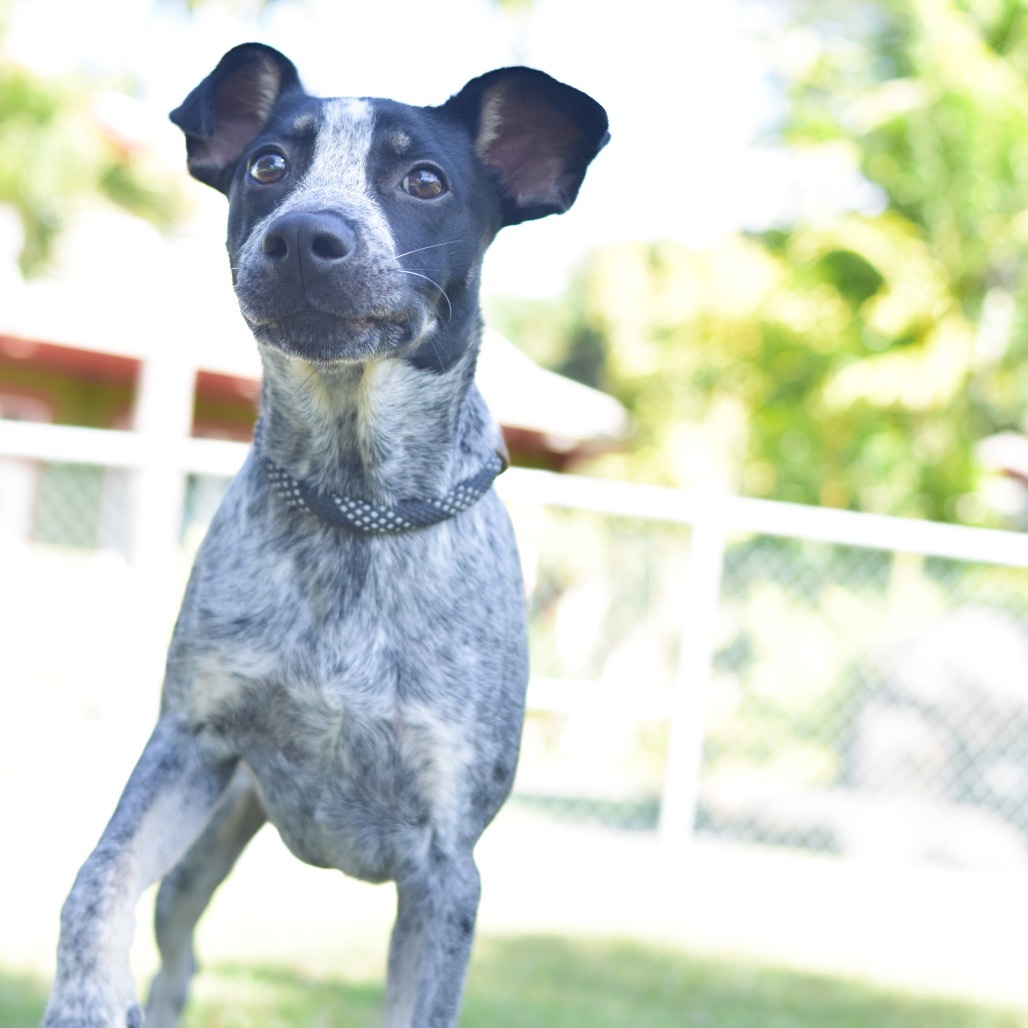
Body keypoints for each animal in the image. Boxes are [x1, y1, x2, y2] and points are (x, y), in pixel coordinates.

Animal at [42, 44, 608, 1023]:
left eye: (425, 180)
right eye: (268, 166)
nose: (304, 236)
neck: (355, 510)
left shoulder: (445, 870)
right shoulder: (188, 745)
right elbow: (97, 876)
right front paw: (84, 997)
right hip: (208, 847)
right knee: (178, 956)